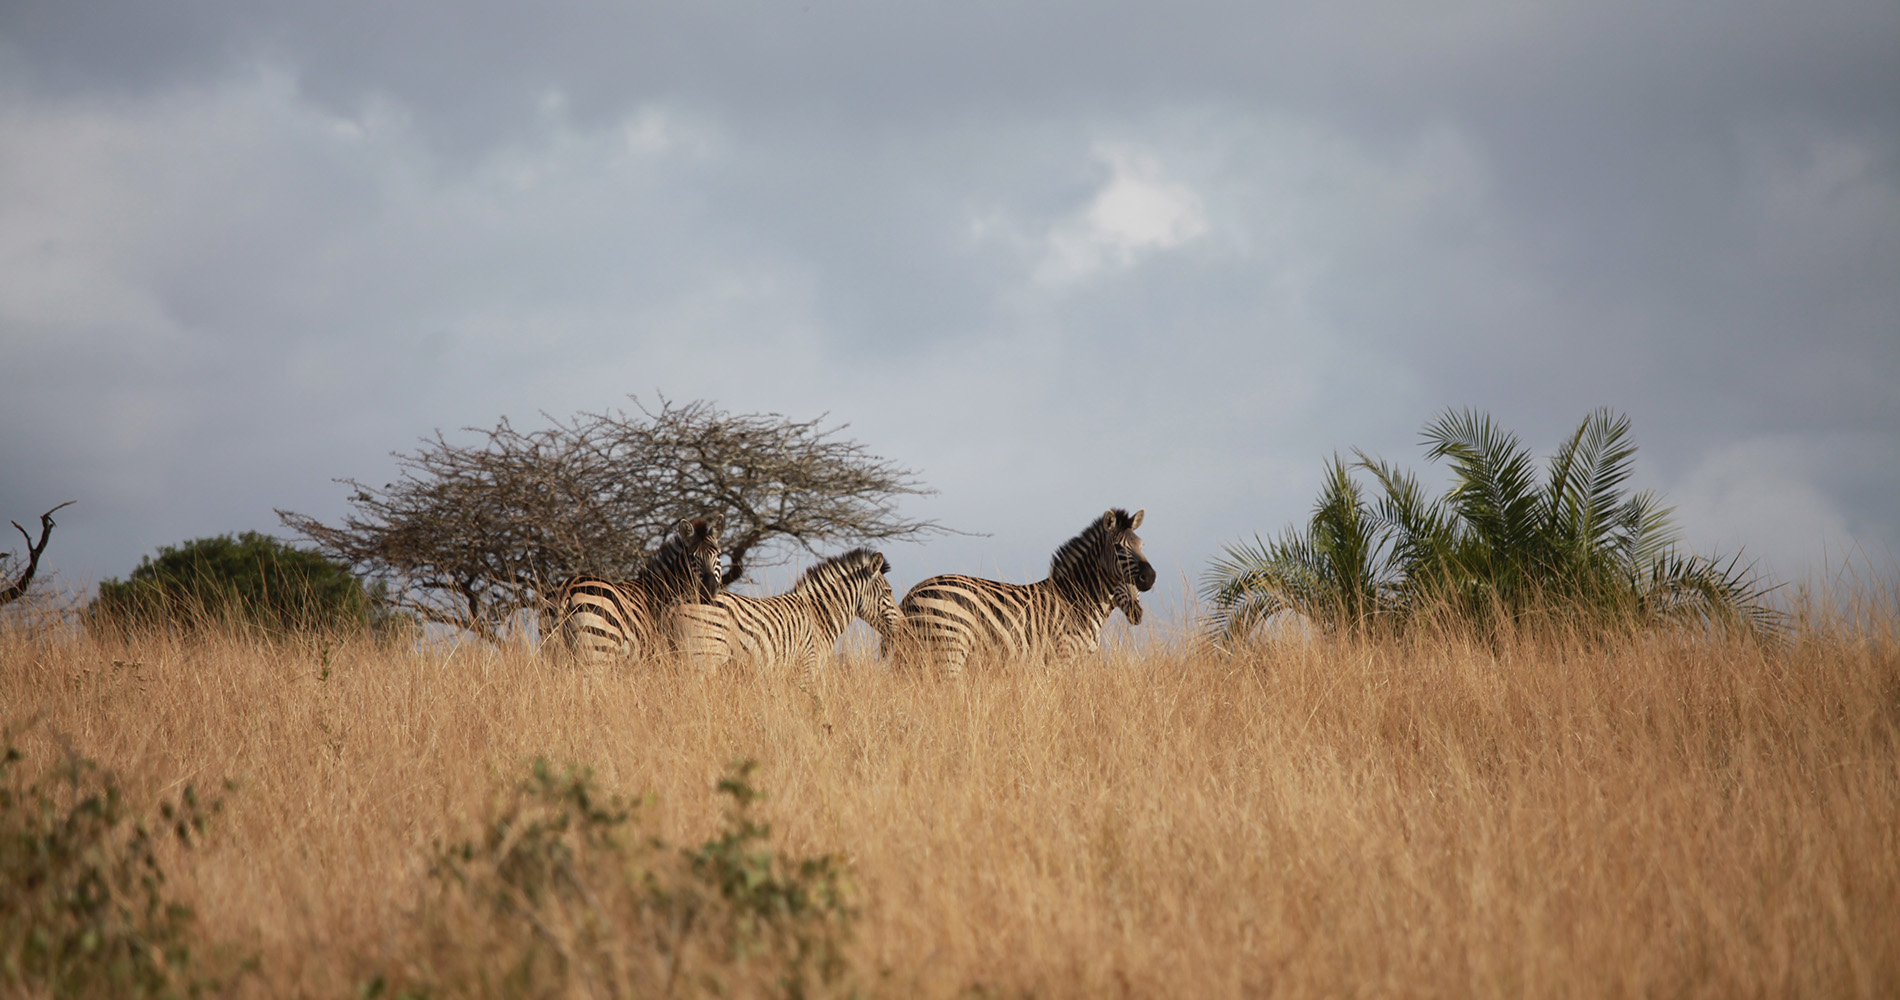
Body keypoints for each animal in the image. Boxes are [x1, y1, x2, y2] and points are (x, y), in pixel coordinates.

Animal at [554, 517, 725, 665]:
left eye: (718, 554)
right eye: (693, 557)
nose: (709, 587)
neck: (661, 590)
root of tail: (568, 589)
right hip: (598, 649)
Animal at [668, 547, 904, 680]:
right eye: (888, 592)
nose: (904, 624)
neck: (820, 616)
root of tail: (676, 602)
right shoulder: (808, 664)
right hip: (704, 657)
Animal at [889, 509, 1155, 680]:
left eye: (1142, 546)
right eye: (1119, 548)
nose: (1150, 577)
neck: (1077, 599)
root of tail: (912, 594)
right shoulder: (1062, 655)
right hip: (948, 649)